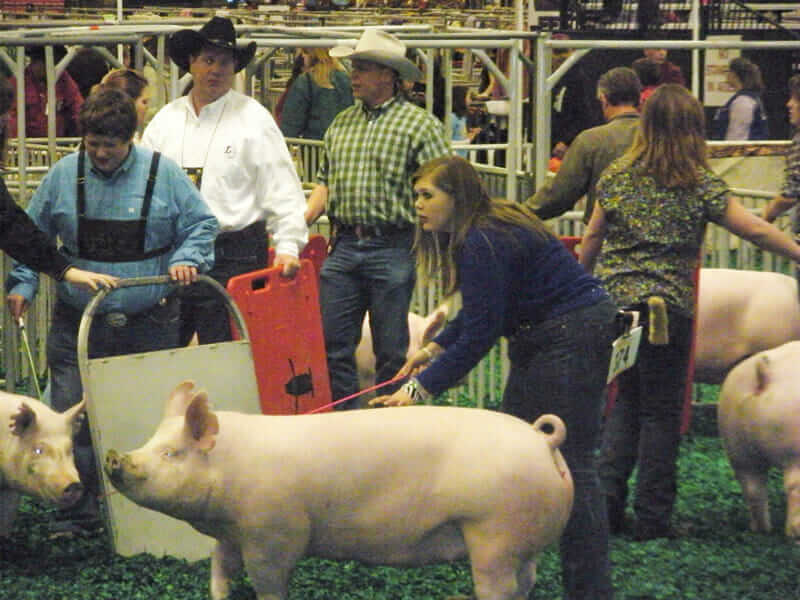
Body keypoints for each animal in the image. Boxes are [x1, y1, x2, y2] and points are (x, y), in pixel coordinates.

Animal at [716, 342, 800, 540]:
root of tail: (766, 374)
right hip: (793, 450)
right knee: (794, 485)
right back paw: (794, 533)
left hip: (737, 447)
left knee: (752, 488)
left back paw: (760, 529)